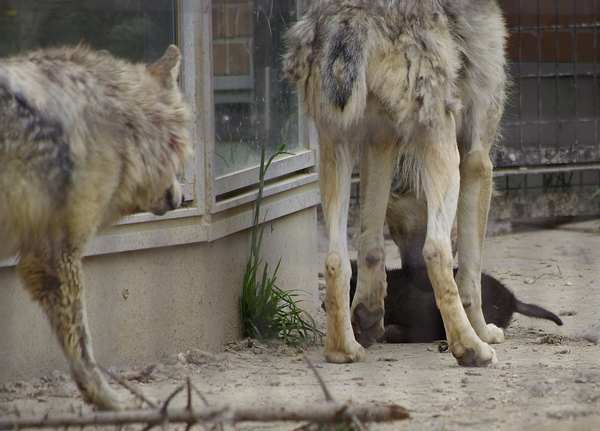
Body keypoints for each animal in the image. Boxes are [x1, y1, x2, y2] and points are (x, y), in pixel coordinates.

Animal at [286, 0, 506, 366]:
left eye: (398, 231)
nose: (412, 274)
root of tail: (355, 12)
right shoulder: (477, 161)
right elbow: (470, 276)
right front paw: (484, 330)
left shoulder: (380, 139)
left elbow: (371, 243)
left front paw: (368, 313)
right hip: (441, 142)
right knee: (436, 251)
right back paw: (471, 348)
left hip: (337, 143)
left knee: (336, 259)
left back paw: (343, 350)